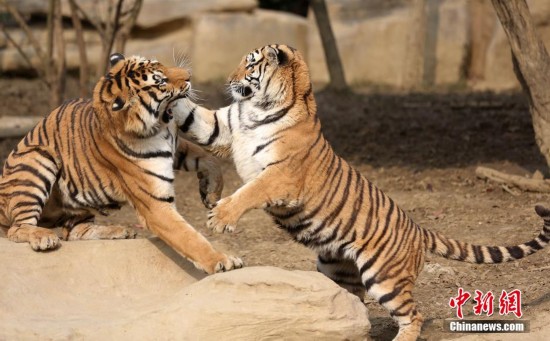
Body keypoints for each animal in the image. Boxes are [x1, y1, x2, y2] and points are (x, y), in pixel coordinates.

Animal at [0, 53, 243, 276]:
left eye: (160, 63)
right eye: (160, 81)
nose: (189, 75)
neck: (159, 127)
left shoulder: (176, 146)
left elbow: (208, 159)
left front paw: (212, 193)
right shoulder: (155, 205)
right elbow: (189, 237)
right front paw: (222, 261)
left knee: (74, 231)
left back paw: (118, 231)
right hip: (39, 159)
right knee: (17, 229)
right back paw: (44, 238)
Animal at [171, 43, 550, 338]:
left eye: (250, 64)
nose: (228, 81)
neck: (258, 108)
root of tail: (418, 228)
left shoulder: (281, 176)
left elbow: (249, 192)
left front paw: (220, 217)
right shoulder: (222, 126)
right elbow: (191, 115)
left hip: (385, 277)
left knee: (413, 315)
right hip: (336, 267)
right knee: (350, 306)